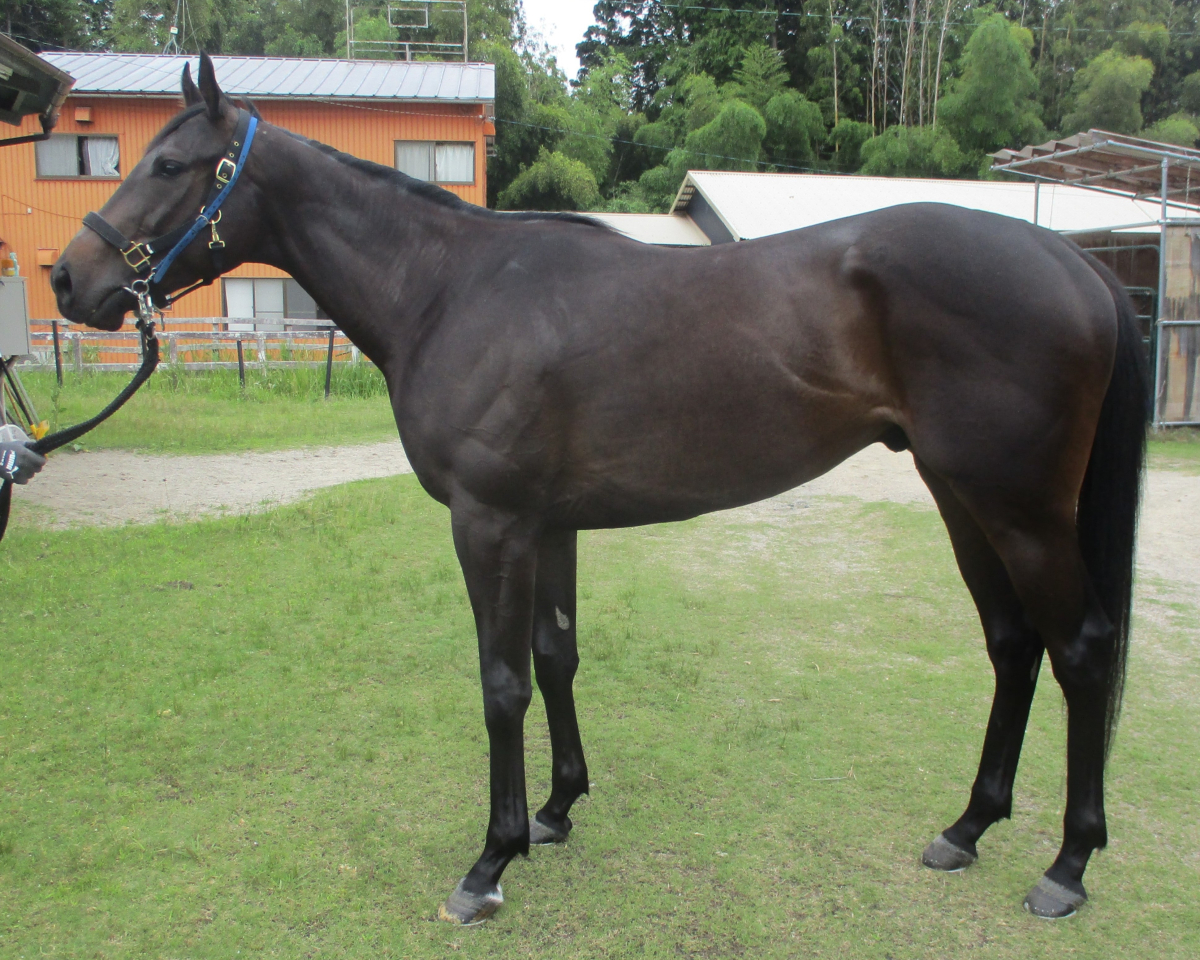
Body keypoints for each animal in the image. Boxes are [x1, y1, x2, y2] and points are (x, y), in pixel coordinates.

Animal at [50, 54, 1147, 924]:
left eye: (170, 165)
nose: (70, 279)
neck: (448, 290)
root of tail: (1072, 260)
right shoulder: (550, 525)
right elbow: (556, 658)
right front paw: (556, 809)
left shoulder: (490, 523)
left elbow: (500, 682)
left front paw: (489, 862)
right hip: (962, 496)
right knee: (1013, 647)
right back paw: (967, 827)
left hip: (1020, 510)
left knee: (1082, 650)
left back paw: (1067, 866)